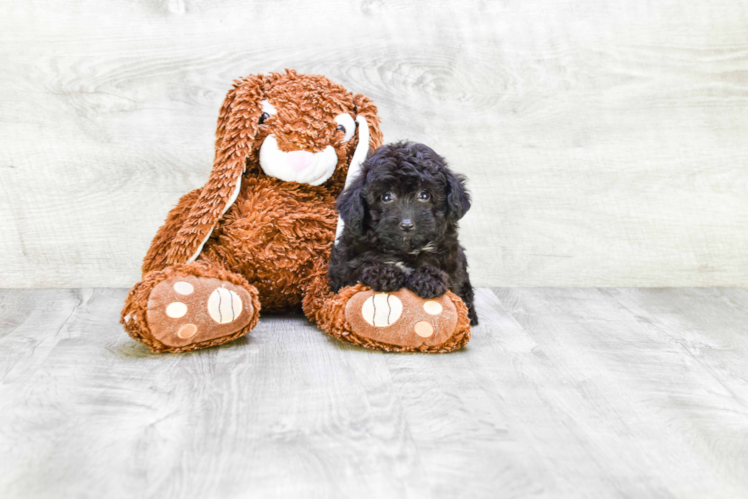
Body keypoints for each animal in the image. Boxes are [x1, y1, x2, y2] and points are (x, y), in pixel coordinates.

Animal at [328, 142, 480, 328]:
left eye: (424, 195)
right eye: (386, 197)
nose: (407, 225)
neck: (405, 250)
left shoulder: (452, 260)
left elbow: (450, 279)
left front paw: (428, 278)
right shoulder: (343, 266)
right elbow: (356, 269)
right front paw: (383, 272)